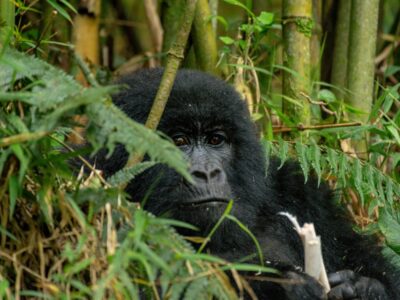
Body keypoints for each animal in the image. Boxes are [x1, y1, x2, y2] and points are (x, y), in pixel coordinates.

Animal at [96, 68, 400, 300]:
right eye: (179, 141)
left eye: (216, 140)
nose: (207, 173)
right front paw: (284, 285)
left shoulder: (302, 193)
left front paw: (365, 288)